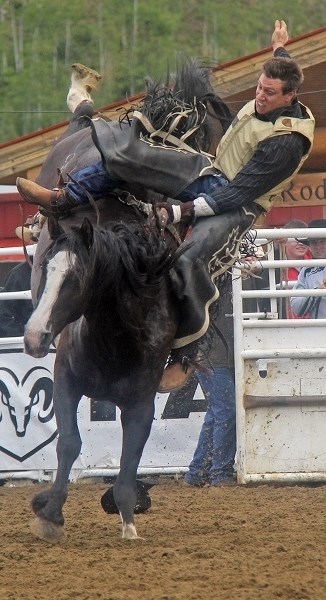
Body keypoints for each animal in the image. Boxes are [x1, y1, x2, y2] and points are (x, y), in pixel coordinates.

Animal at [21, 58, 234, 540]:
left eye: (77, 281)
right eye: (46, 269)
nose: (33, 337)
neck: (115, 336)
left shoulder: (140, 403)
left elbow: (129, 457)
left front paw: (128, 514)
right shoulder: (65, 379)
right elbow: (70, 443)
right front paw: (50, 512)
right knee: (83, 119)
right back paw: (80, 95)